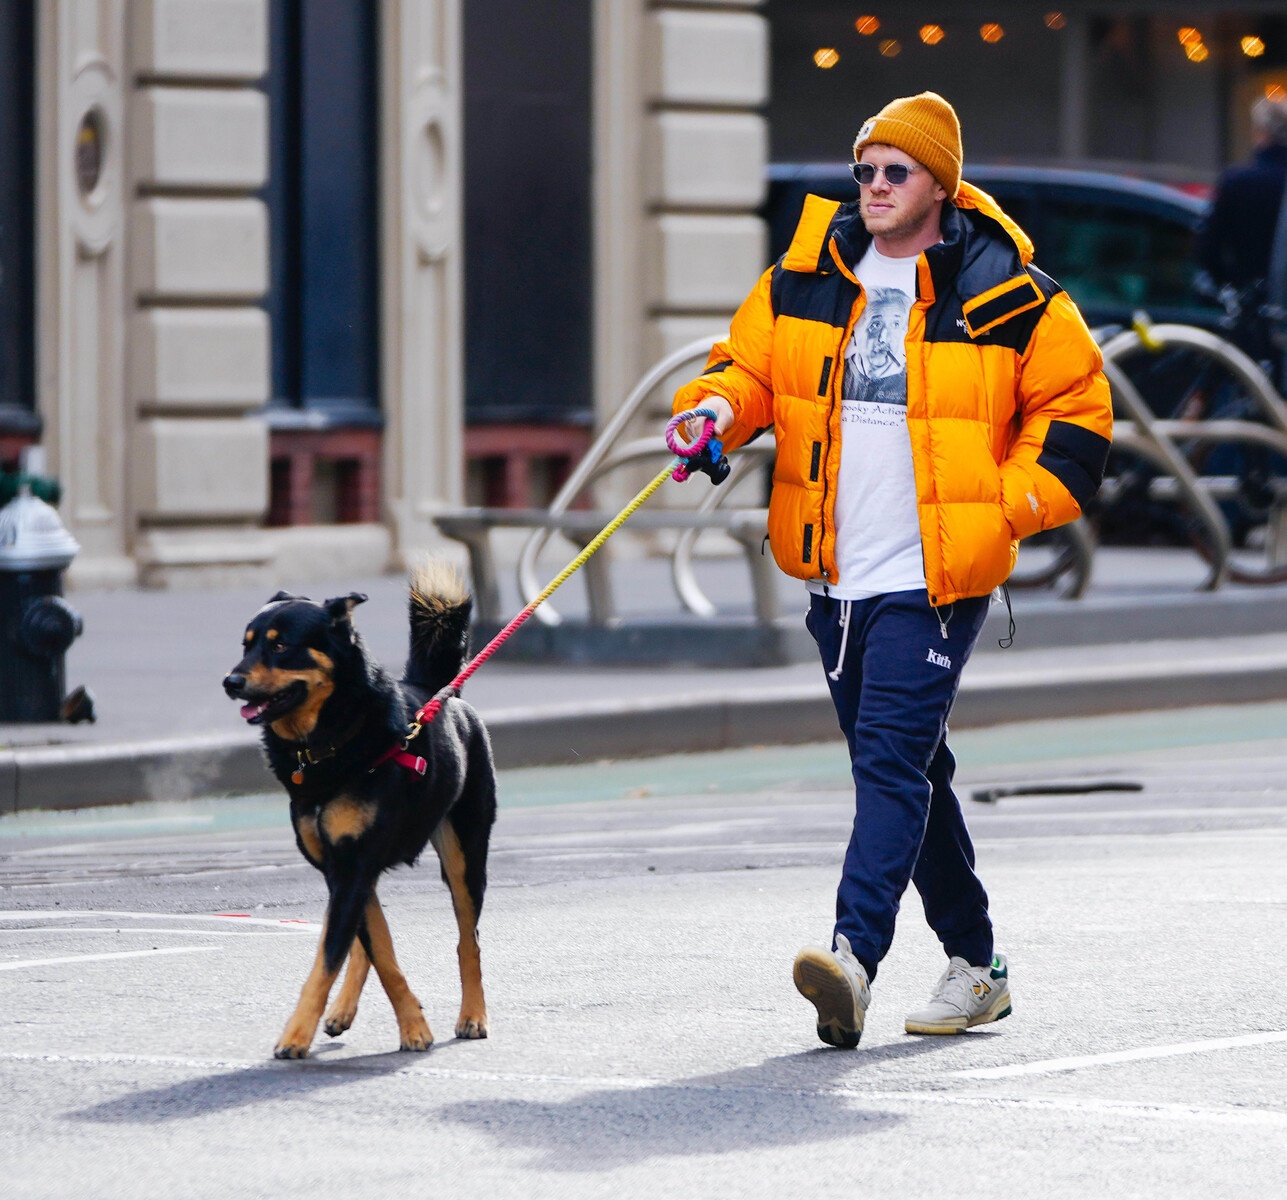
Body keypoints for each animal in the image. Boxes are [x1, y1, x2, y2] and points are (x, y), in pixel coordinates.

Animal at [221, 561, 491, 1060]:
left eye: (281, 645)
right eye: (246, 644)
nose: (230, 682)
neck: (323, 745)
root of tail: (436, 689)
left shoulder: (355, 866)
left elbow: (333, 956)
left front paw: (295, 1035)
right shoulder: (342, 869)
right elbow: (376, 952)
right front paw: (412, 1025)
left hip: (465, 857)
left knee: (469, 939)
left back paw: (473, 1015)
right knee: (366, 939)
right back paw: (343, 1010)